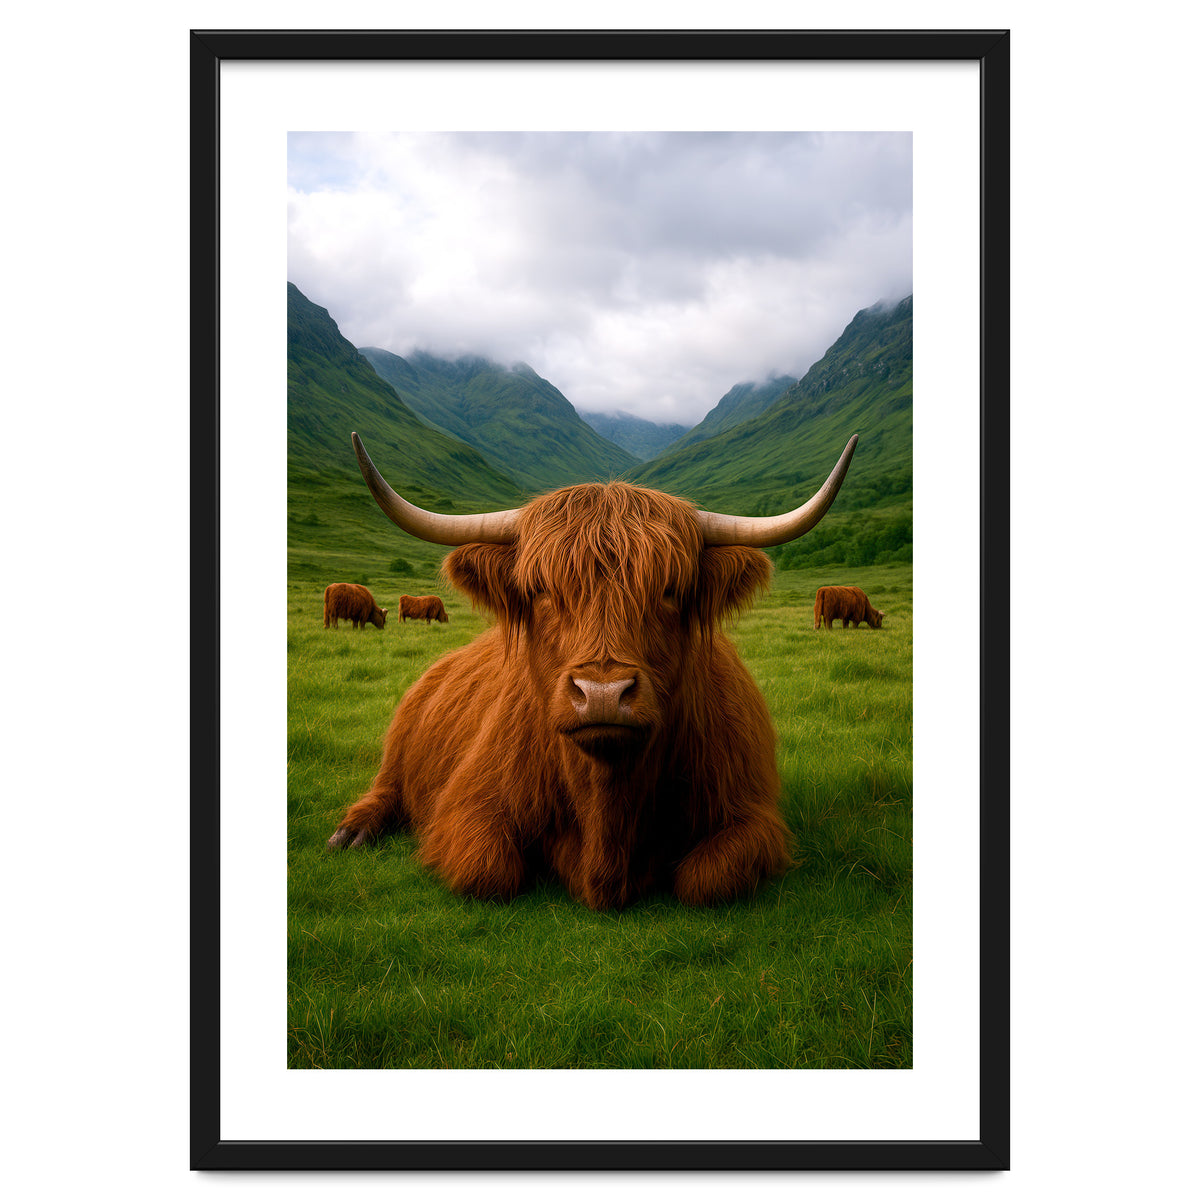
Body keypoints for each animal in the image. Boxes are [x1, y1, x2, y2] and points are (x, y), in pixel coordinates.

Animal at [328, 431, 858, 910]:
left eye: (670, 590)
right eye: (541, 590)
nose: (602, 693)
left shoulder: (751, 816)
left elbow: (706, 880)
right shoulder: (467, 805)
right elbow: (489, 871)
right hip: (399, 746)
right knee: (386, 788)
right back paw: (351, 832)